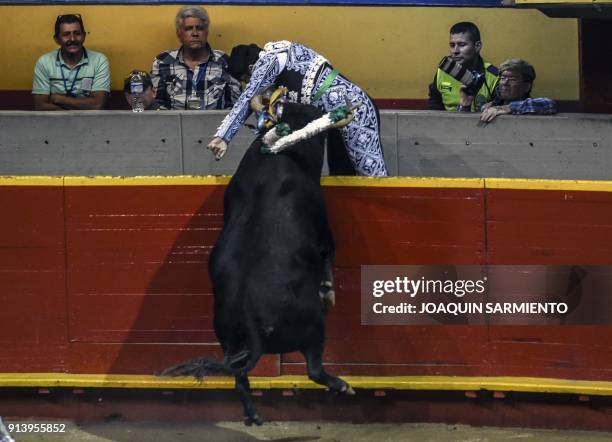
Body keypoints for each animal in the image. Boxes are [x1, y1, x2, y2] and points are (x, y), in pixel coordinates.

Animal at [161, 102, 354, 424]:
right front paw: (328, 290)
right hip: (313, 326)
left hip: (228, 340)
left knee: (240, 379)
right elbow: (329, 253)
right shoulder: (322, 229)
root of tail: (248, 312)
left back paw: (253, 415)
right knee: (314, 369)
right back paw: (343, 385)